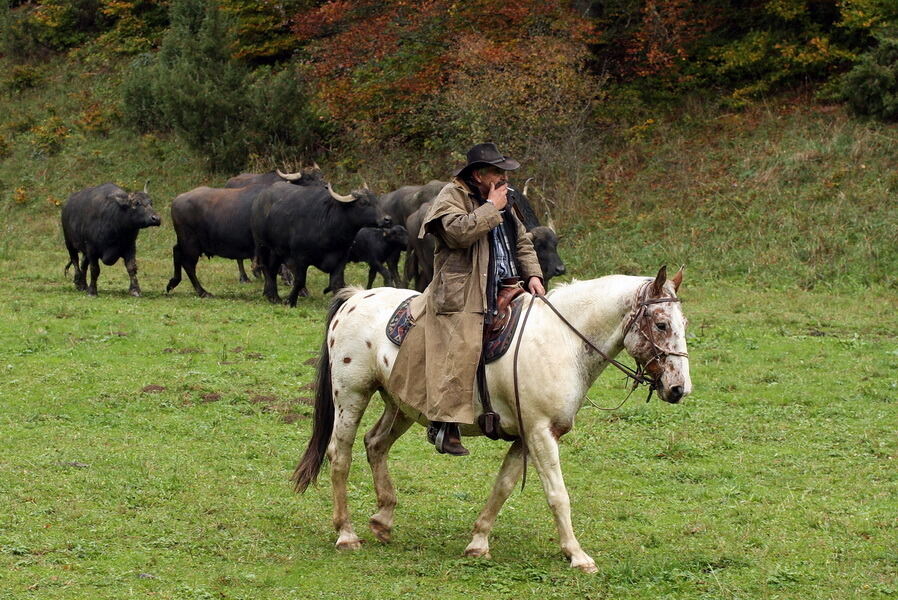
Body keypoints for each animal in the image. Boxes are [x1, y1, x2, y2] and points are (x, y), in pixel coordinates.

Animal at [252, 182, 392, 304]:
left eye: (376, 200)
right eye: (363, 202)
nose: (387, 219)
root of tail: (260, 199)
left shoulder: (341, 259)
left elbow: (337, 282)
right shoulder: (300, 258)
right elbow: (300, 281)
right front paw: (291, 301)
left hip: (277, 251)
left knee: (272, 270)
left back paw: (272, 296)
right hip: (263, 246)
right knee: (265, 268)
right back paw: (273, 296)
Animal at [290, 266, 688, 572]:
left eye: (683, 323)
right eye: (661, 324)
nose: (679, 388)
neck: (561, 341)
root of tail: (357, 297)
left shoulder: (526, 436)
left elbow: (503, 486)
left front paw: (478, 541)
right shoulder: (541, 433)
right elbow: (557, 494)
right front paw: (577, 554)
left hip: (400, 405)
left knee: (375, 445)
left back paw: (383, 520)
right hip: (352, 395)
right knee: (340, 456)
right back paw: (346, 534)